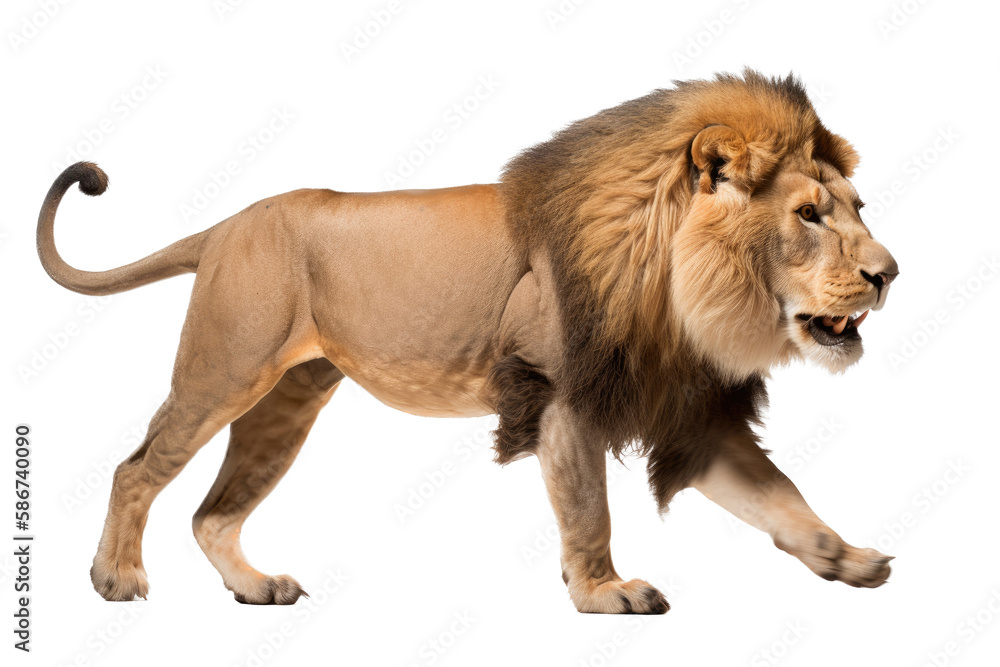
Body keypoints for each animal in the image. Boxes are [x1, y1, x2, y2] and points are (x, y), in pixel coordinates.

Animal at [36, 70, 897, 613]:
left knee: (212, 513)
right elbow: (589, 510)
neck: (679, 292)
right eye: (809, 215)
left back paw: (253, 586)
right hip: (224, 368)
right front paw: (605, 592)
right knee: (135, 468)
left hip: (287, 401)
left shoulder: (692, 416)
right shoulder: (559, 399)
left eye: (858, 207)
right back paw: (116, 576)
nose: (889, 273)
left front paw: (847, 556)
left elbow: (782, 498)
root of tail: (225, 224)